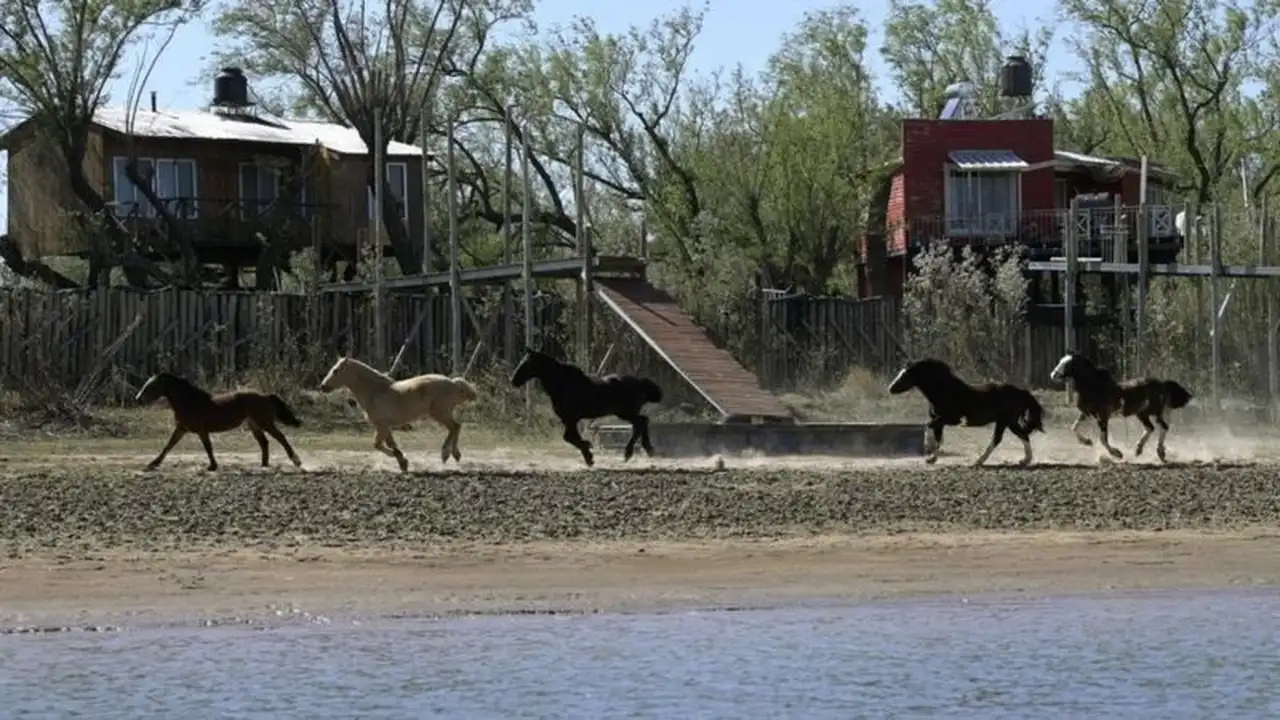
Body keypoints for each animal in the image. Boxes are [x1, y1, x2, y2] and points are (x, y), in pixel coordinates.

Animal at [134, 372, 304, 471]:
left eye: (152, 385)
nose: (138, 399)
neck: (189, 401)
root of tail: (266, 396)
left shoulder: (201, 430)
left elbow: (208, 447)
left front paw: (212, 466)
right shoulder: (182, 428)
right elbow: (168, 446)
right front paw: (152, 464)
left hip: (264, 422)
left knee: (280, 437)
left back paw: (297, 461)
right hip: (254, 424)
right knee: (264, 442)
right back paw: (263, 465)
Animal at [319, 355, 478, 471]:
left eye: (336, 370)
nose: (323, 386)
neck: (375, 391)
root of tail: (454, 383)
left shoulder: (382, 425)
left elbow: (377, 444)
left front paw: (401, 460)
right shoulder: (385, 426)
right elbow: (390, 443)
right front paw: (403, 463)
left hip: (439, 413)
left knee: (455, 427)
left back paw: (447, 454)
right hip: (441, 413)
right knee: (456, 427)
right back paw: (453, 455)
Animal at [510, 347, 663, 467]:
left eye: (526, 364)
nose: (513, 381)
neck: (562, 385)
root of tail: (640, 383)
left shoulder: (570, 419)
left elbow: (569, 437)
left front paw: (589, 452)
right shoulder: (570, 420)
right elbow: (570, 437)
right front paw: (589, 456)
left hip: (625, 412)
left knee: (641, 422)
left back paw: (629, 453)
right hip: (626, 413)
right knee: (643, 421)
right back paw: (648, 449)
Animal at [888, 358, 1046, 466]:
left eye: (905, 375)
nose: (890, 389)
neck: (945, 392)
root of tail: (1021, 392)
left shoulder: (950, 419)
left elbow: (929, 426)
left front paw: (928, 449)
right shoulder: (940, 420)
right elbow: (938, 437)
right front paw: (932, 458)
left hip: (1004, 421)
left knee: (998, 439)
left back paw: (978, 461)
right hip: (1010, 422)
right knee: (1023, 435)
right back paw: (1025, 460)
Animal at [1049, 351, 1192, 462]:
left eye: (1068, 364)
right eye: (1061, 361)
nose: (1053, 375)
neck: (1094, 387)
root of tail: (1162, 384)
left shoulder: (1103, 417)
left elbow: (1103, 439)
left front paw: (1117, 454)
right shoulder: (1086, 414)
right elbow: (1073, 427)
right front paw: (1087, 442)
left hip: (1155, 412)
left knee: (1163, 427)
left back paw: (1160, 452)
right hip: (1142, 413)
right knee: (1150, 428)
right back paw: (1139, 449)